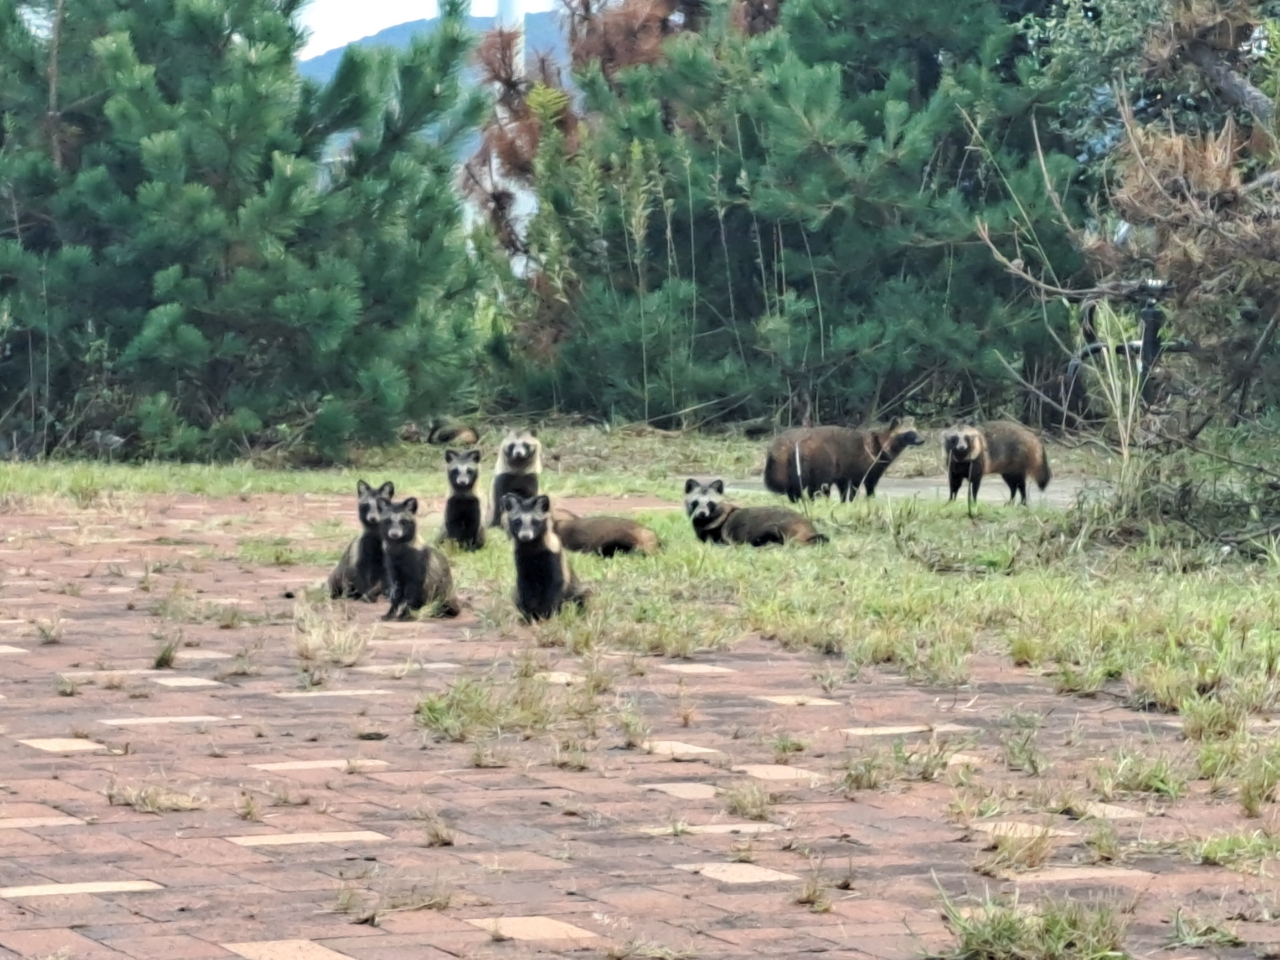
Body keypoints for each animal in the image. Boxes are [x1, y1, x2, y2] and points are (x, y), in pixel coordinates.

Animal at [373, 496, 465, 624]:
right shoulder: (392, 563)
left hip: (442, 593)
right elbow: (396, 589)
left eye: (403, 522)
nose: (394, 534)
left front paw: (405, 613)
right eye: (388, 521)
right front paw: (392, 611)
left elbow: (414, 588)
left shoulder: (418, 562)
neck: (398, 546)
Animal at [504, 496, 593, 624]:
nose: (525, 536)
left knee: (580, 593)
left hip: (574, 589)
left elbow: (555, 581)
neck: (531, 545)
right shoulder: (521, 560)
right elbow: (526, 586)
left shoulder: (553, 553)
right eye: (517, 522)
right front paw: (530, 615)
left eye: (534, 521)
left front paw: (547, 613)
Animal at [680, 481, 829, 547]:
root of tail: (809, 527)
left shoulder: (718, 537)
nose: (701, 514)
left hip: (779, 525)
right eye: (695, 502)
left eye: (710, 503)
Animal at [762, 419, 926, 504]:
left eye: (916, 431)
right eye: (909, 433)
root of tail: (782, 444)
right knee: (815, 485)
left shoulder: (844, 470)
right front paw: (865, 499)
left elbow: (843, 487)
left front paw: (843, 502)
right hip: (817, 460)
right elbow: (864, 485)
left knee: (797, 486)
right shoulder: (865, 466)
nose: (922, 440)